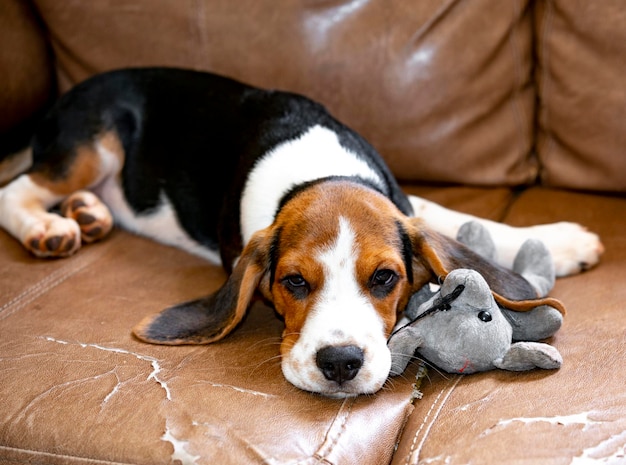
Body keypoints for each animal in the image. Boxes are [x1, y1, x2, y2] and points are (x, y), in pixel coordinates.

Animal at [1, 67, 604, 396]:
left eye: (385, 278)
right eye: (293, 282)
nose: (340, 364)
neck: (321, 174)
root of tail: (64, 96)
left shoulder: (407, 204)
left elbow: (443, 217)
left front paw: (564, 241)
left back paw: (88, 213)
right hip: (91, 144)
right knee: (17, 188)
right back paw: (49, 227)